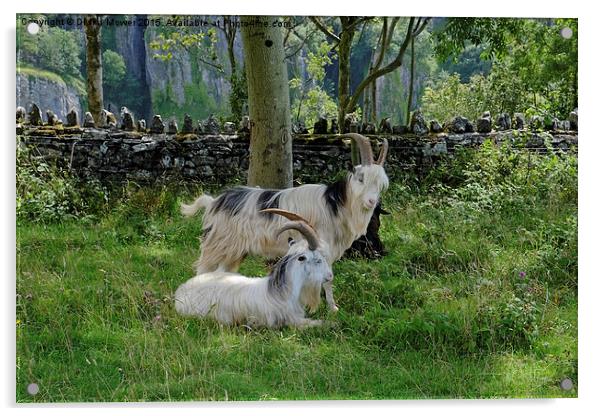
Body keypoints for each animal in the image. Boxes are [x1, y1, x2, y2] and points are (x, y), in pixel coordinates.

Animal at [173, 218, 332, 328]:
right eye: (318, 260)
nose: (330, 276)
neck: (281, 293)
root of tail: (181, 289)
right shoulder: (290, 321)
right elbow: (319, 323)